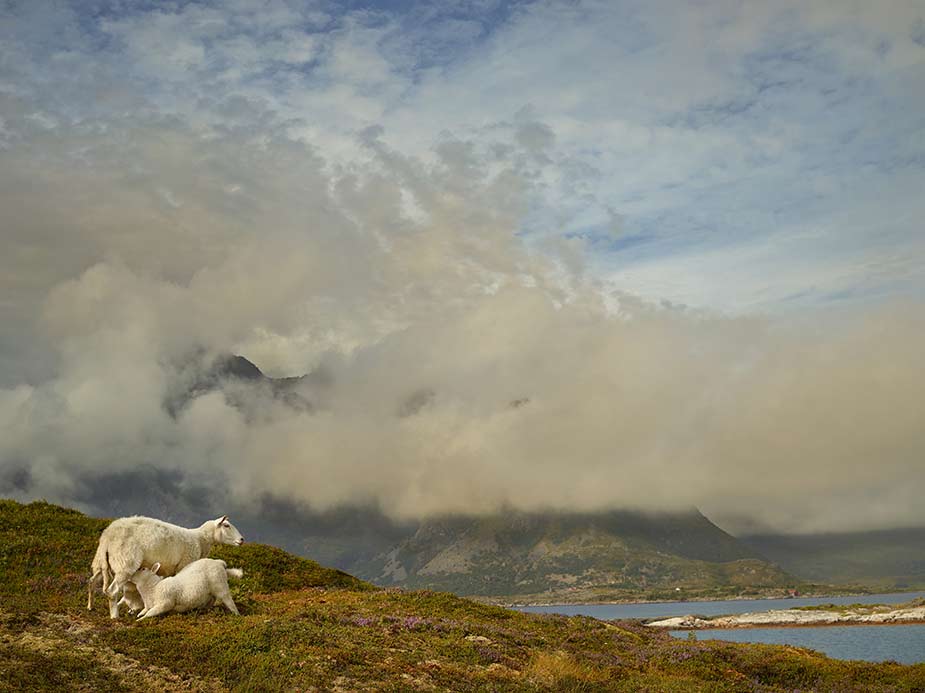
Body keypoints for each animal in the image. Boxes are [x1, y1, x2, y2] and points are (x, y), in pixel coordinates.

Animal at [86, 510, 244, 620]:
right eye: (226, 525)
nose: (242, 539)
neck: (201, 540)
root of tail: (107, 536)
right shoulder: (185, 563)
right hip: (125, 562)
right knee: (112, 591)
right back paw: (115, 616)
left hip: (101, 562)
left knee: (92, 582)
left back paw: (90, 607)